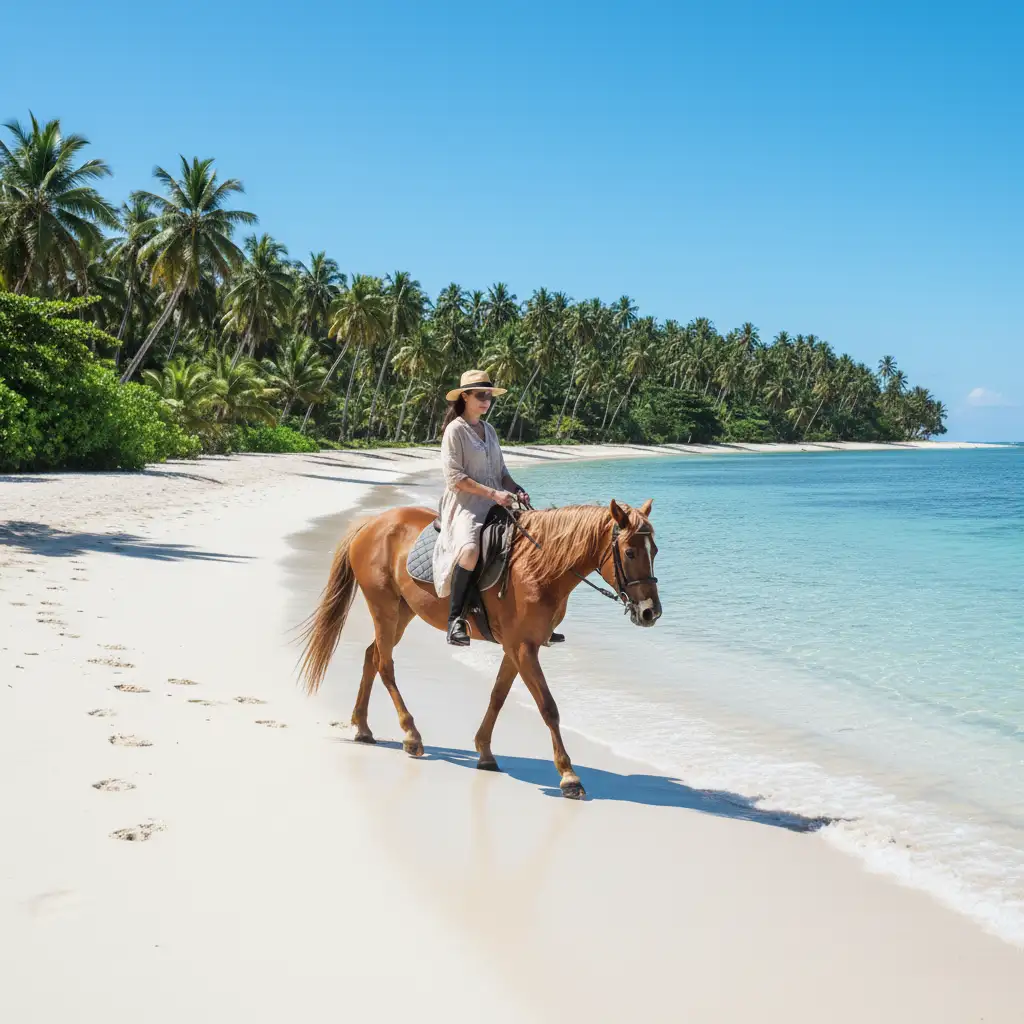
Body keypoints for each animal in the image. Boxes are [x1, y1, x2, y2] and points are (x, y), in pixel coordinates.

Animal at [298, 498, 661, 799]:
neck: (540, 566)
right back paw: (411, 735)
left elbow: (498, 696)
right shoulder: (523, 648)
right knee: (385, 664)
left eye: (655, 550)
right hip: (384, 608)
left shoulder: (517, 648)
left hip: (402, 613)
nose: (651, 612)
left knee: (371, 657)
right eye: (630, 552)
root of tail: (372, 522)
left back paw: (362, 727)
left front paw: (485, 752)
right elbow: (548, 708)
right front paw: (569, 776)